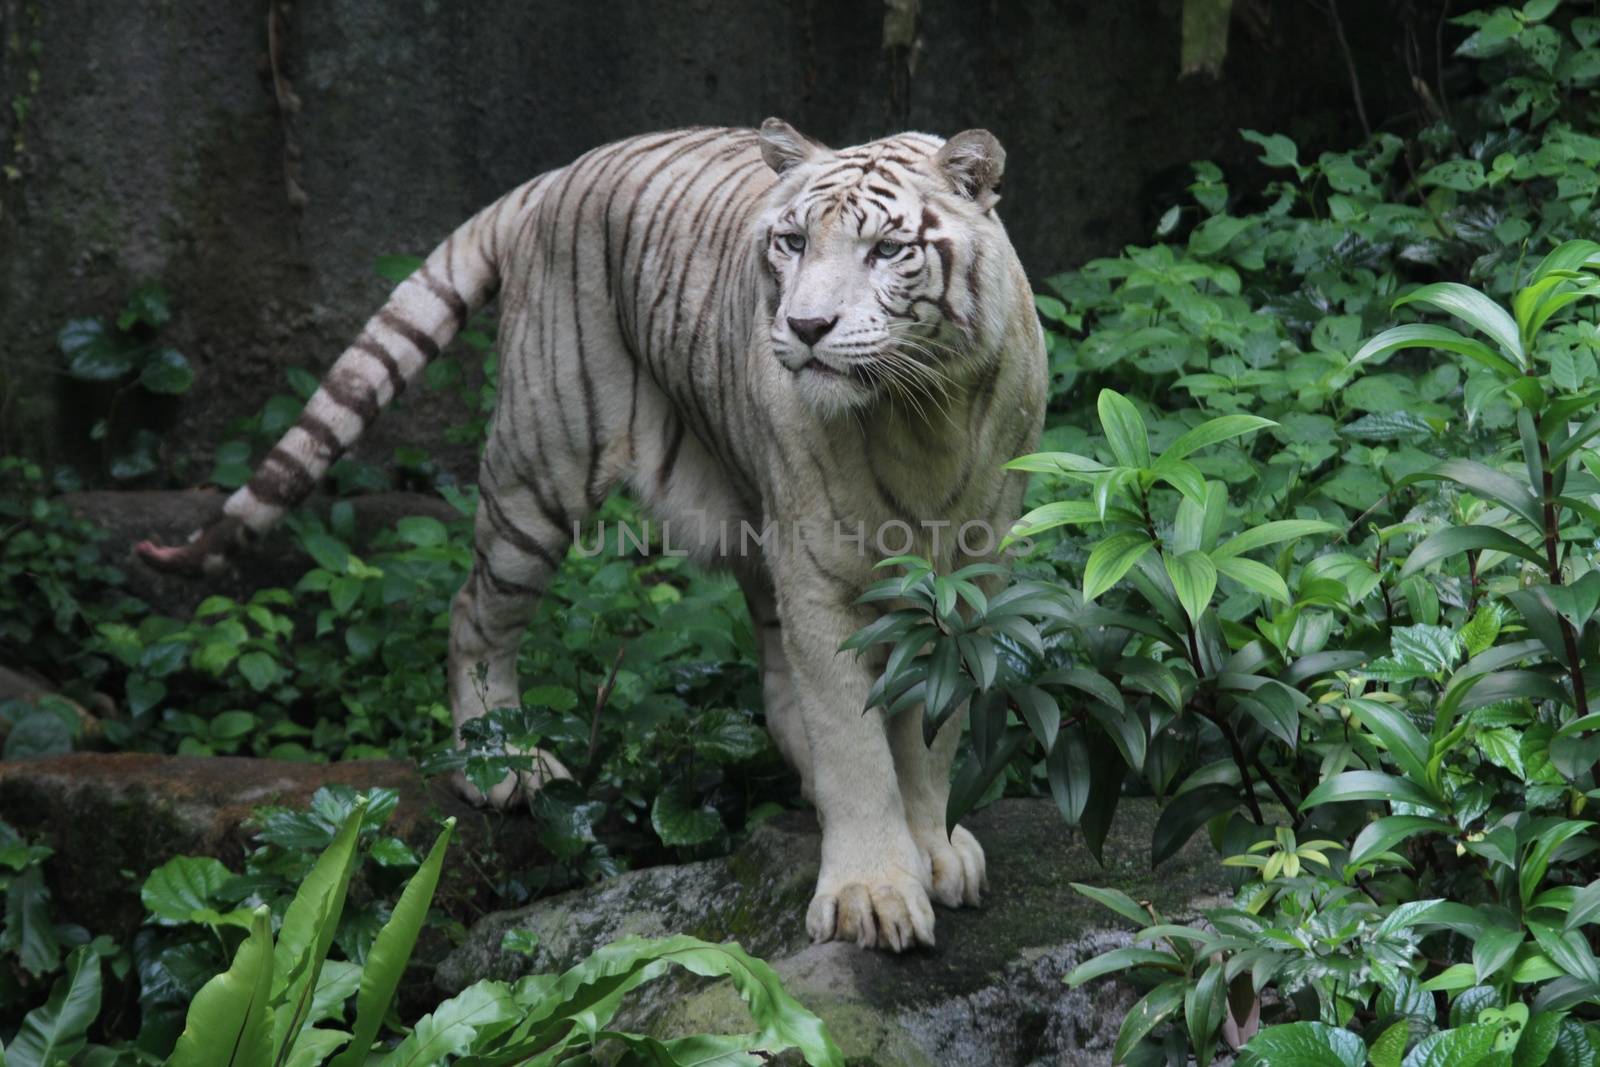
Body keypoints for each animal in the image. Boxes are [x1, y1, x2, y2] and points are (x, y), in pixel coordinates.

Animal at [140, 119, 1049, 953]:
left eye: (888, 249)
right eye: (792, 242)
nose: (807, 324)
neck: (920, 414)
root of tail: (563, 169)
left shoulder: (972, 578)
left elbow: (931, 733)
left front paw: (932, 850)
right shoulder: (819, 569)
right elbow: (856, 737)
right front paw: (873, 892)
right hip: (540, 465)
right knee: (473, 610)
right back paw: (504, 767)